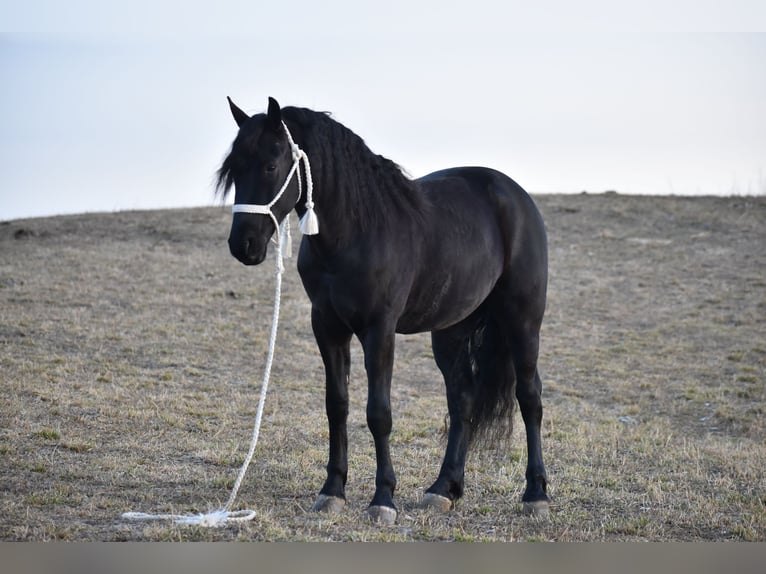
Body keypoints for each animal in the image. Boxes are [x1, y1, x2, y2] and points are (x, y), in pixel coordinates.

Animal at [218, 99, 552, 528]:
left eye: (271, 165)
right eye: (234, 168)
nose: (243, 244)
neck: (356, 231)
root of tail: (515, 195)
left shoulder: (380, 330)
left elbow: (379, 413)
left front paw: (383, 499)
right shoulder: (327, 327)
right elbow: (337, 405)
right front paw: (332, 491)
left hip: (522, 319)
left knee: (530, 397)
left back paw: (535, 495)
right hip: (451, 329)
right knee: (462, 399)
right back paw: (443, 489)